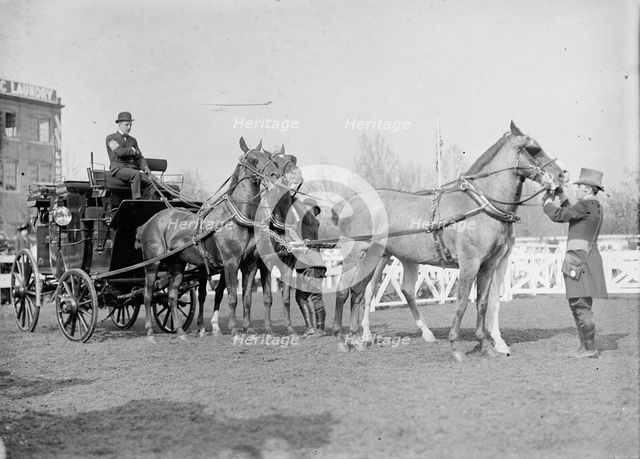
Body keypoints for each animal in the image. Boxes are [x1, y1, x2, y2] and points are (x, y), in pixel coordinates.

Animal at [135, 138, 281, 341]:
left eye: (268, 157)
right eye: (253, 159)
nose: (275, 175)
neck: (237, 215)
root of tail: (148, 222)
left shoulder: (250, 264)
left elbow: (247, 298)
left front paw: (248, 329)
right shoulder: (230, 262)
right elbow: (232, 297)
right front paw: (234, 329)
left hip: (177, 266)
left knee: (171, 296)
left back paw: (180, 332)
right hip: (152, 264)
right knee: (148, 295)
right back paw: (150, 332)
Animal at [332, 122, 568, 360]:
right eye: (533, 149)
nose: (562, 176)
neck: (482, 207)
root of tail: (350, 202)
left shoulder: (490, 264)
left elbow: (484, 303)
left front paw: (487, 344)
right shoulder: (469, 263)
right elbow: (462, 301)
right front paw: (455, 346)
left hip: (379, 257)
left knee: (362, 292)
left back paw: (360, 338)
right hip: (357, 255)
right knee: (346, 290)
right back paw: (344, 339)